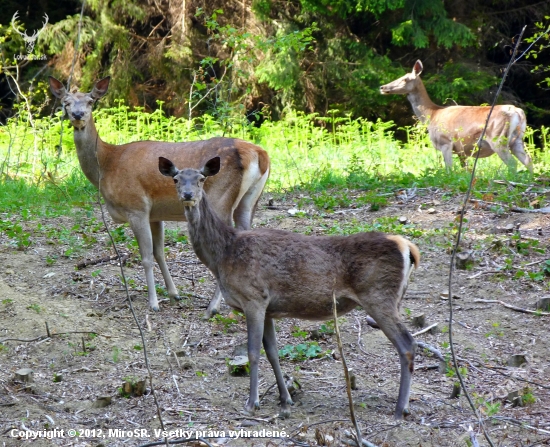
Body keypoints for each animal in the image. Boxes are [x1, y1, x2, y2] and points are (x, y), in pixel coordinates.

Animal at [49, 76, 270, 316]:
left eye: (90, 101)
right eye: (66, 102)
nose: (78, 115)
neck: (108, 165)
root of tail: (260, 154)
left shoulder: (136, 207)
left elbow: (146, 257)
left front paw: (153, 302)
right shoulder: (155, 213)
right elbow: (159, 252)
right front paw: (174, 294)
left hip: (221, 199)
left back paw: (213, 307)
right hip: (249, 200)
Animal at [160, 156, 422, 422]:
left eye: (201, 178)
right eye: (176, 179)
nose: (188, 195)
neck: (222, 256)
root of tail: (408, 247)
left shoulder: (253, 297)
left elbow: (253, 352)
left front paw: (252, 402)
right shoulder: (268, 306)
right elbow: (273, 352)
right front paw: (285, 398)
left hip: (379, 295)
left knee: (408, 345)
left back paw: (400, 408)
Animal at [382, 59, 532, 172]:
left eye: (405, 79)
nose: (383, 87)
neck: (432, 114)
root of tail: (518, 112)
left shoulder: (445, 142)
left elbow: (449, 169)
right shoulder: (461, 150)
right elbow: (465, 170)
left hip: (498, 137)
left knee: (513, 164)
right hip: (517, 140)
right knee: (528, 161)